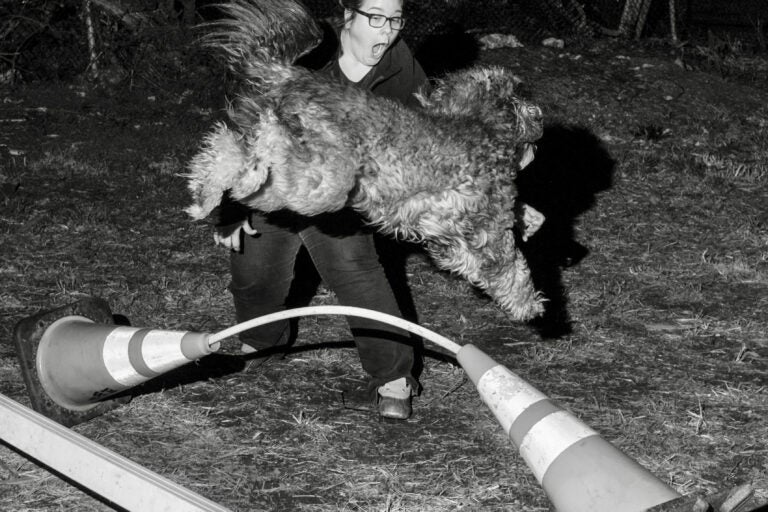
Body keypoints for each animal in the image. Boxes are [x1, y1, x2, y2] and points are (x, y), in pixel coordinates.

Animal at [185, 0, 544, 320]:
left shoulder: (449, 234)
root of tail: (290, 75)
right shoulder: (491, 226)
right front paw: (528, 304)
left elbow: (466, 257)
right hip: (323, 180)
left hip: (298, 180)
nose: (538, 116)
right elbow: (510, 267)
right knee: (250, 148)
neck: (477, 122)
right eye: (520, 96)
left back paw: (209, 192)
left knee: (233, 151)